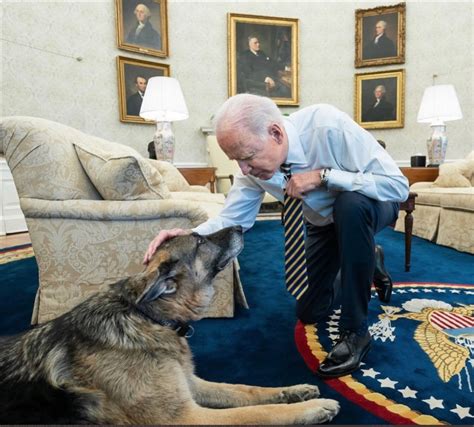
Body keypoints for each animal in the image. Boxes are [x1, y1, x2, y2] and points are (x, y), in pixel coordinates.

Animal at [0, 227, 340, 424]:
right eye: (200, 241)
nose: (241, 226)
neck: (148, 317)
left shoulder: (191, 385)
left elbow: (247, 390)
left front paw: (293, 391)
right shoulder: (187, 417)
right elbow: (256, 412)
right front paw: (311, 409)